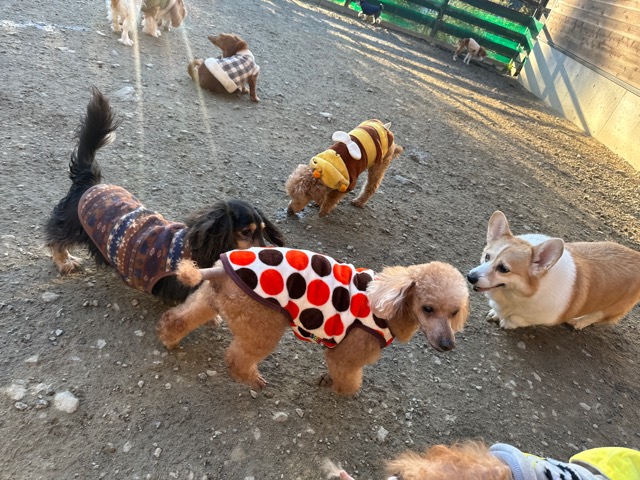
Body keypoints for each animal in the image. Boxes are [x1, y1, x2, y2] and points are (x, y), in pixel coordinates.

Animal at [44, 88, 284, 303]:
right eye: (246, 232)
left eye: (263, 230)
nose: (271, 254)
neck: (196, 249)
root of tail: (89, 182)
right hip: (72, 225)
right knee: (56, 238)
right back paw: (65, 261)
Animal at [157, 247, 469, 394]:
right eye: (428, 308)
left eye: (454, 312)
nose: (448, 345)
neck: (389, 302)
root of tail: (220, 270)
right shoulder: (348, 353)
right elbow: (349, 381)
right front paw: (336, 388)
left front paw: (327, 381)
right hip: (264, 323)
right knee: (236, 358)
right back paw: (252, 379)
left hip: (212, 300)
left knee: (179, 317)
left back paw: (170, 339)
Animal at [467, 211, 640, 329]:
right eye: (487, 257)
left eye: (503, 268)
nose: (470, 277)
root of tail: (636, 255)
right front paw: (495, 313)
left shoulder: (544, 317)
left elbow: (517, 319)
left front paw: (506, 322)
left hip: (612, 307)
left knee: (597, 315)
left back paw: (578, 322)